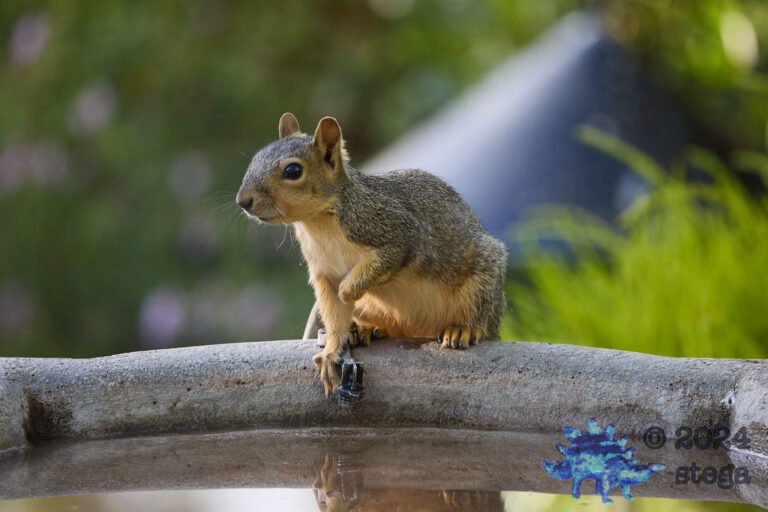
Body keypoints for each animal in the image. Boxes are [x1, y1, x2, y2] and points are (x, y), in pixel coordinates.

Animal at [236, 113, 507, 395]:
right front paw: (332, 352)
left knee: (479, 315)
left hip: (481, 282)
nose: (243, 200)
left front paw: (348, 291)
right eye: (255, 158)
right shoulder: (325, 274)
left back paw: (461, 329)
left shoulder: (396, 232)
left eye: (293, 171)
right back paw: (365, 328)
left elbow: (383, 262)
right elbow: (334, 315)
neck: (319, 222)